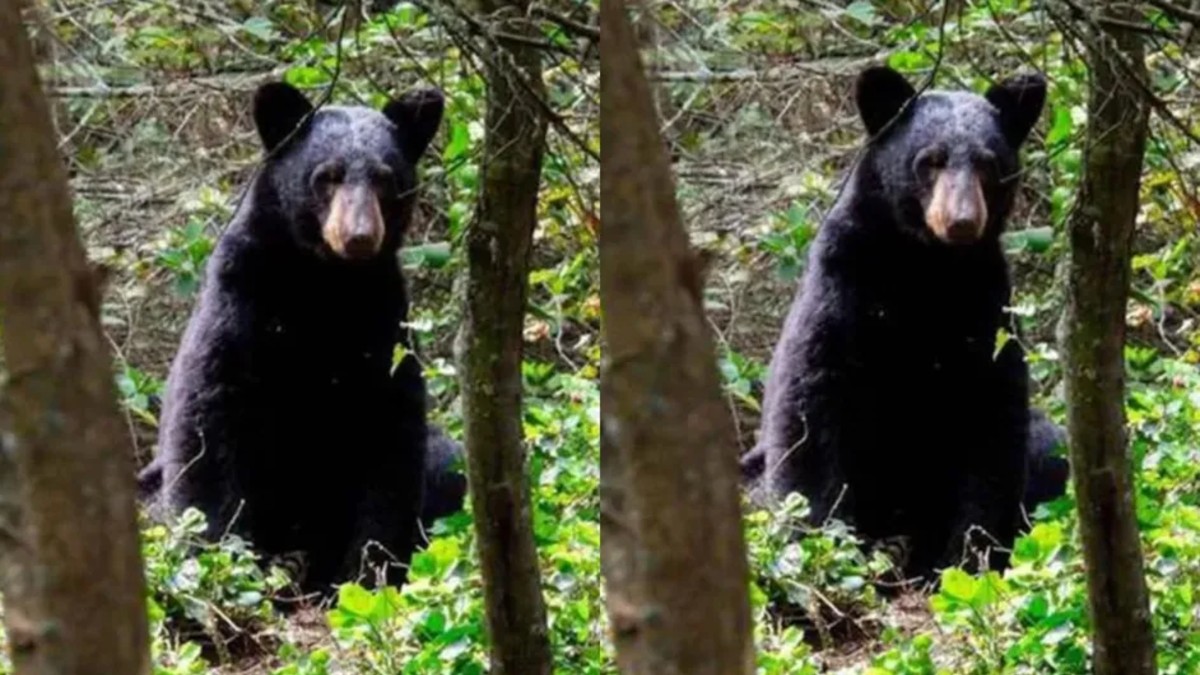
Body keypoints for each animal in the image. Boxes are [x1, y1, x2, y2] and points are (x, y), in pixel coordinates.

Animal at [138, 80, 446, 595]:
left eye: (385, 178)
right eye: (328, 176)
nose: (359, 236)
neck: (320, 282)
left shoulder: (382, 323)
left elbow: (391, 438)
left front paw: (365, 575)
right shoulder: (240, 301)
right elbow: (207, 420)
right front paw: (223, 562)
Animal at [749, 65, 1047, 581]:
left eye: (988, 164)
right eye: (931, 161)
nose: (961, 221)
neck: (922, 266)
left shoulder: (984, 307)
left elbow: (992, 421)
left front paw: (967, 558)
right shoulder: (844, 285)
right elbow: (810, 401)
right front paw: (820, 544)